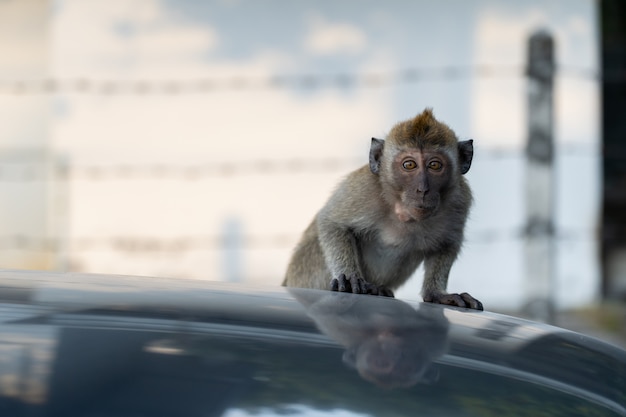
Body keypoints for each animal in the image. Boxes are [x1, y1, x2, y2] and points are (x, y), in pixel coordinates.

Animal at [282, 107, 482, 308]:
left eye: (434, 165)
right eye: (409, 164)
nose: (423, 190)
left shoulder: (459, 200)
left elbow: (446, 245)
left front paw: (437, 293)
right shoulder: (365, 187)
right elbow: (331, 222)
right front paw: (349, 277)